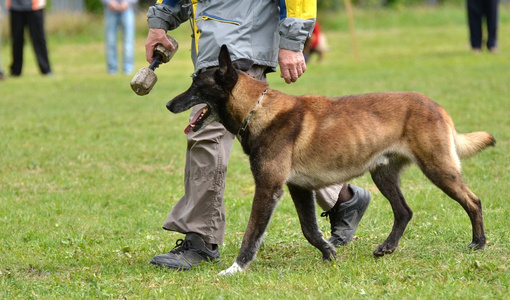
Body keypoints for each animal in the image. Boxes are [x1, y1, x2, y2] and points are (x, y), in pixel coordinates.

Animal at [166, 45, 494, 276]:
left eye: (196, 85)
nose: (168, 103)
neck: (256, 109)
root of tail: (436, 105)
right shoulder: (299, 189)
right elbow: (310, 229)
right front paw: (329, 253)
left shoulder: (268, 188)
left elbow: (252, 234)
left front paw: (235, 268)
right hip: (383, 174)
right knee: (404, 211)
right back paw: (387, 247)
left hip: (438, 169)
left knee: (473, 201)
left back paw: (478, 243)